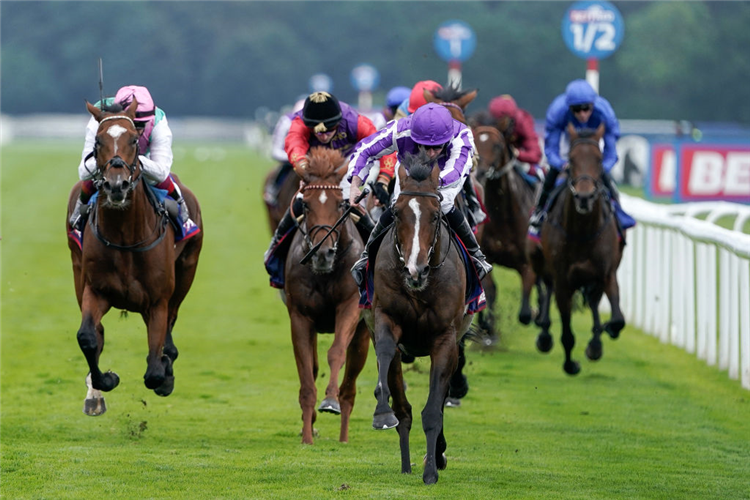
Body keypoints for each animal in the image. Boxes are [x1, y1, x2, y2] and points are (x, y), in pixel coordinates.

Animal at [66, 99, 203, 416]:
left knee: (171, 321)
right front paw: (105, 381)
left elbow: (154, 369)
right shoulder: (96, 289)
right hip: (77, 269)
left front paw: (164, 372)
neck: (125, 238)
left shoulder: (158, 300)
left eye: (132, 139)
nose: (116, 185)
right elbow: (87, 337)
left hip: (186, 271)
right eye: (97, 141)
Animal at [284, 146, 372, 444]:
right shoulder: (300, 316)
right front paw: (307, 436)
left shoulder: (350, 307)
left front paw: (329, 401)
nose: (323, 254)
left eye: (340, 204)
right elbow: (306, 373)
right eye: (306, 204)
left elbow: (336, 352)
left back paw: (344, 435)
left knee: (350, 387)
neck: (324, 273)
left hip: (363, 333)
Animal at [366, 154, 476, 486]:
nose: (416, 270)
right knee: (403, 408)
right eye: (396, 213)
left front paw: (431, 470)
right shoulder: (385, 319)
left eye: (436, 215)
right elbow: (386, 359)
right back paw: (405, 462)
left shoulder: (445, 339)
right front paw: (382, 413)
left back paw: (434, 456)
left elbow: (433, 410)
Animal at [472, 125, 544, 344]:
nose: (480, 171)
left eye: (497, 145)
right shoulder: (486, 257)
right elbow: (490, 291)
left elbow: (525, 313)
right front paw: (487, 328)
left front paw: (535, 313)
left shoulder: (527, 264)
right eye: (475, 141)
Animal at [528, 124, 628, 376]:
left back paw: (595, 342)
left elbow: (617, 319)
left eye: (600, 159)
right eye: (571, 160)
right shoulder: (563, 280)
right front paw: (570, 364)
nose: (584, 197)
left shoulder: (606, 274)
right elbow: (566, 332)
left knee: (593, 302)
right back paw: (545, 335)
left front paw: (602, 335)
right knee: (547, 287)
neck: (583, 231)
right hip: (539, 258)